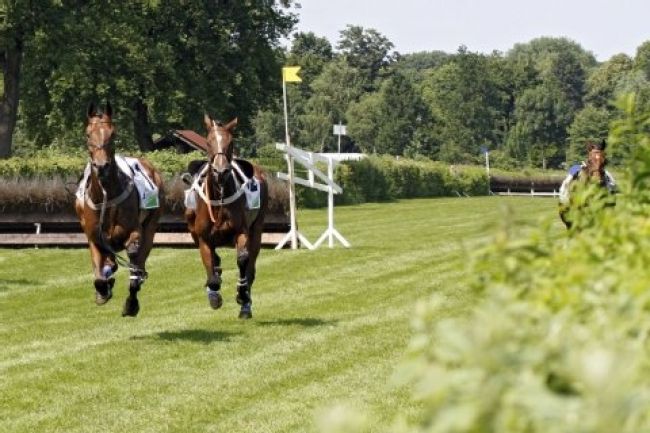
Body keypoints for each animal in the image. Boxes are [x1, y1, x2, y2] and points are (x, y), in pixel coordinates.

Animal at [75, 103, 163, 316]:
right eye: (88, 134)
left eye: (112, 133)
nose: (101, 166)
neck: (107, 197)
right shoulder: (94, 237)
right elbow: (99, 277)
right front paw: (103, 290)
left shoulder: (134, 231)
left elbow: (134, 256)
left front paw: (131, 303)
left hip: (151, 225)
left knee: (138, 260)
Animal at [182, 114, 266, 318]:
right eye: (208, 142)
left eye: (231, 142)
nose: (221, 171)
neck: (220, 197)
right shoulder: (203, 238)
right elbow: (211, 269)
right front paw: (214, 295)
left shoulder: (242, 232)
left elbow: (243, 261)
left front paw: (242, 295)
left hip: (257, 230)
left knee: (250, 268)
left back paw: (245, 304)